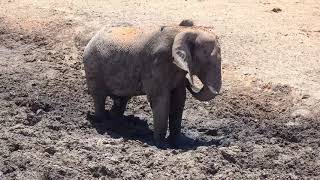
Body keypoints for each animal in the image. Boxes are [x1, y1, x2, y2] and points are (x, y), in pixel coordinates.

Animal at [84, 19, 221, 148]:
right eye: (207, 62)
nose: (189, 81)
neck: (182, 31)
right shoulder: (156, 63)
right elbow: (161, 100)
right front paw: (162, 145)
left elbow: (179, 100)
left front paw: (178, 143)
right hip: (92, 67)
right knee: (99, 97)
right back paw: (103, 122)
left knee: (122, 99)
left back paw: (116, 121)